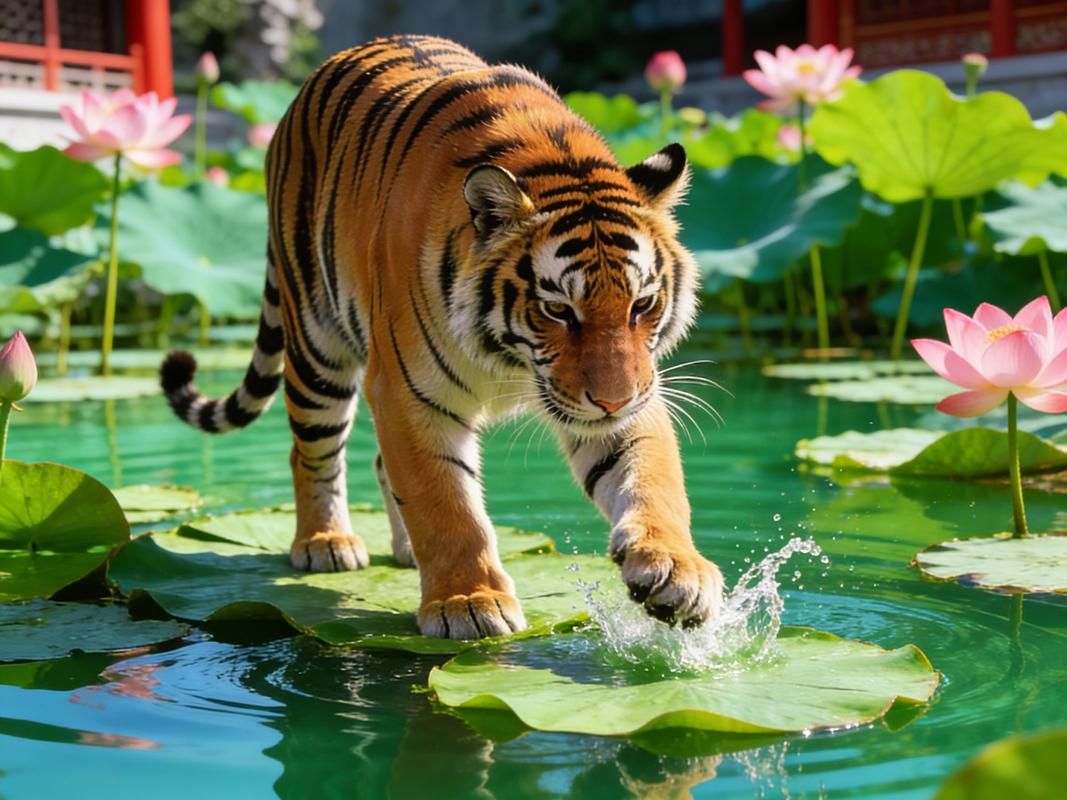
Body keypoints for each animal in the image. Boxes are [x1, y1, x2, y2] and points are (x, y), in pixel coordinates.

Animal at [160, 34, 723, 640]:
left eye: (642, 305)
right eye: (557, 310)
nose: (613, 401)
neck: (510, 359)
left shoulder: (634, 393)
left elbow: (652, 478)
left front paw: (678, 571)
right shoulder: (408, 393)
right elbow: (446, 506)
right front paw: (468, 603)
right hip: (315, 342)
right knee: (311, 450)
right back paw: (326, 543)